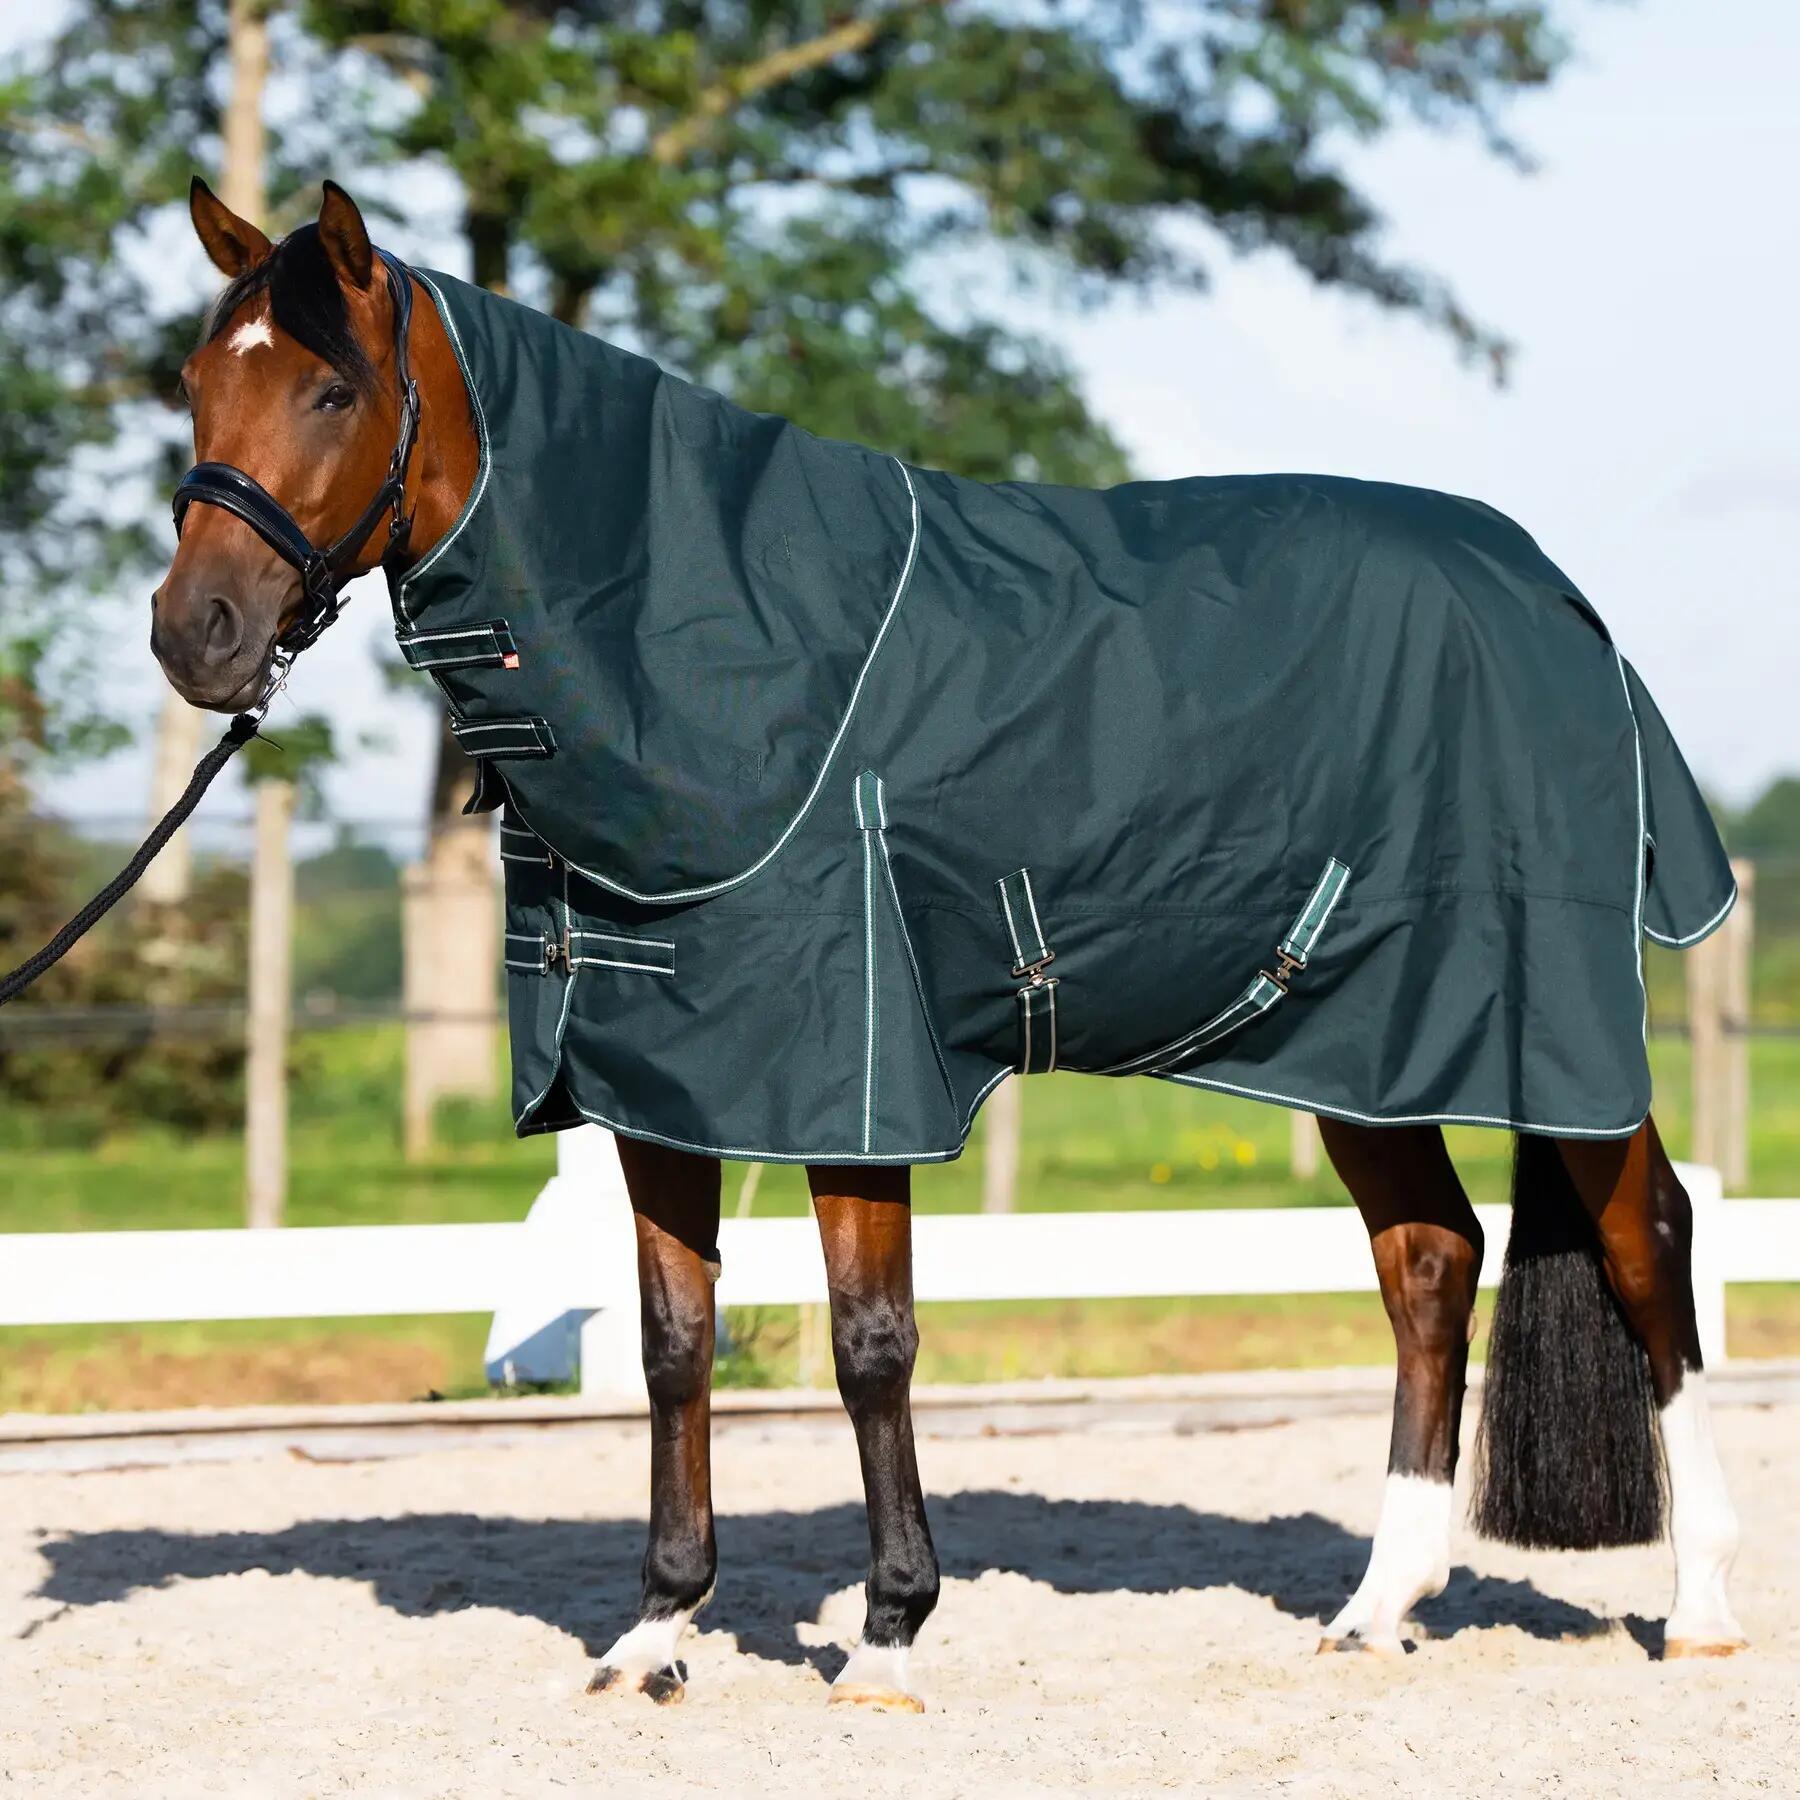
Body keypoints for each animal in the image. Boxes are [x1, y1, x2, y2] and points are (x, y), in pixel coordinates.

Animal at [149, 177, 1747, 1710]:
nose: (194, 634)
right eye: (196, 382)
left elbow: (871, 1344)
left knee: (1647, 1239)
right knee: (1428, 1259)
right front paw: (654, 1633)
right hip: (1358, 1041)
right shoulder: (659, 1077)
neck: (711, 649)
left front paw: (891, 1639)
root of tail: (1557, 598)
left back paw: (1703, 1612)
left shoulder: (851, 1076)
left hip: (1552, 1026)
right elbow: (672, 1348)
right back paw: (1376, 1611)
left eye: (332, 390)